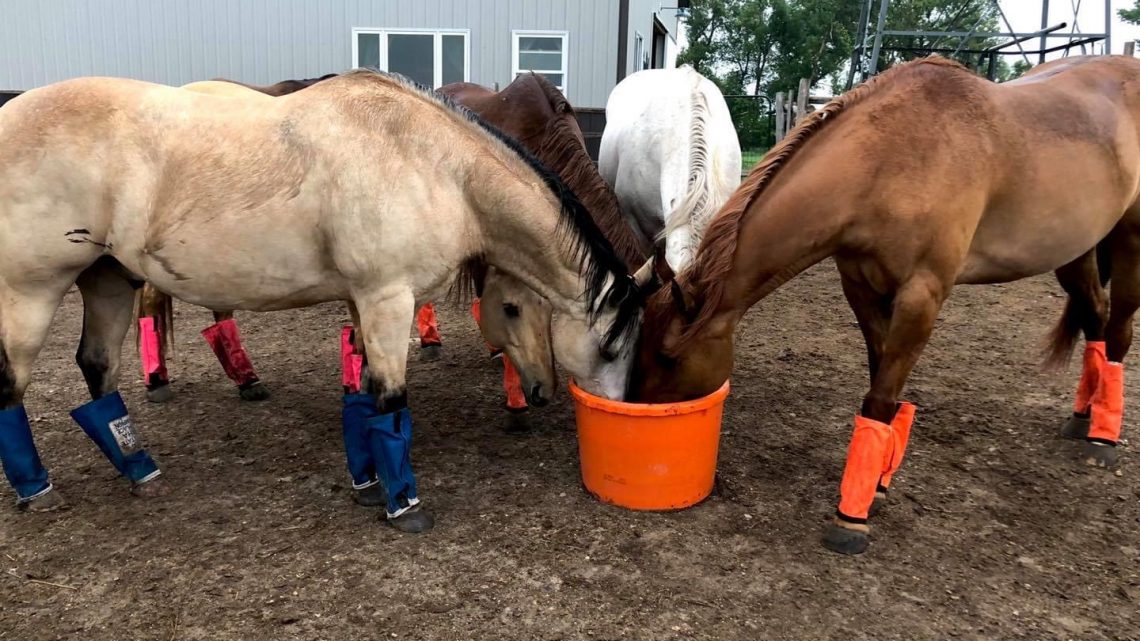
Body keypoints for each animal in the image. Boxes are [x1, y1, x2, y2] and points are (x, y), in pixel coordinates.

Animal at [0, 68, 652, 529]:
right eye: (610, 346)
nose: (543, 393)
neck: (431, 162)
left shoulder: (365, 301)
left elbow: (360, 396)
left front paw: (366, 484)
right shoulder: (388, 299)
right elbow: (390, 401)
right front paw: (403, 503)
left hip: (107, 277)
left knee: (97, 366)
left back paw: (137, 467)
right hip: (31, 291)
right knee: (12, 384)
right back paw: (37, 489)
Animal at [629, 56, 1140, 554]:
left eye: (669, 357)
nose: (642, 410)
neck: (890, 158)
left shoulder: (922, 295)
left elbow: (880, 397)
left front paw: (851, 517)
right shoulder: (860, 285)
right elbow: (882, 380)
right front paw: (877, 481)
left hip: (1128, 240)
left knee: (1119, 326)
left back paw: (1102, 438)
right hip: (1075, 249)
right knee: (1095, 314)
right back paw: (1082, 419)